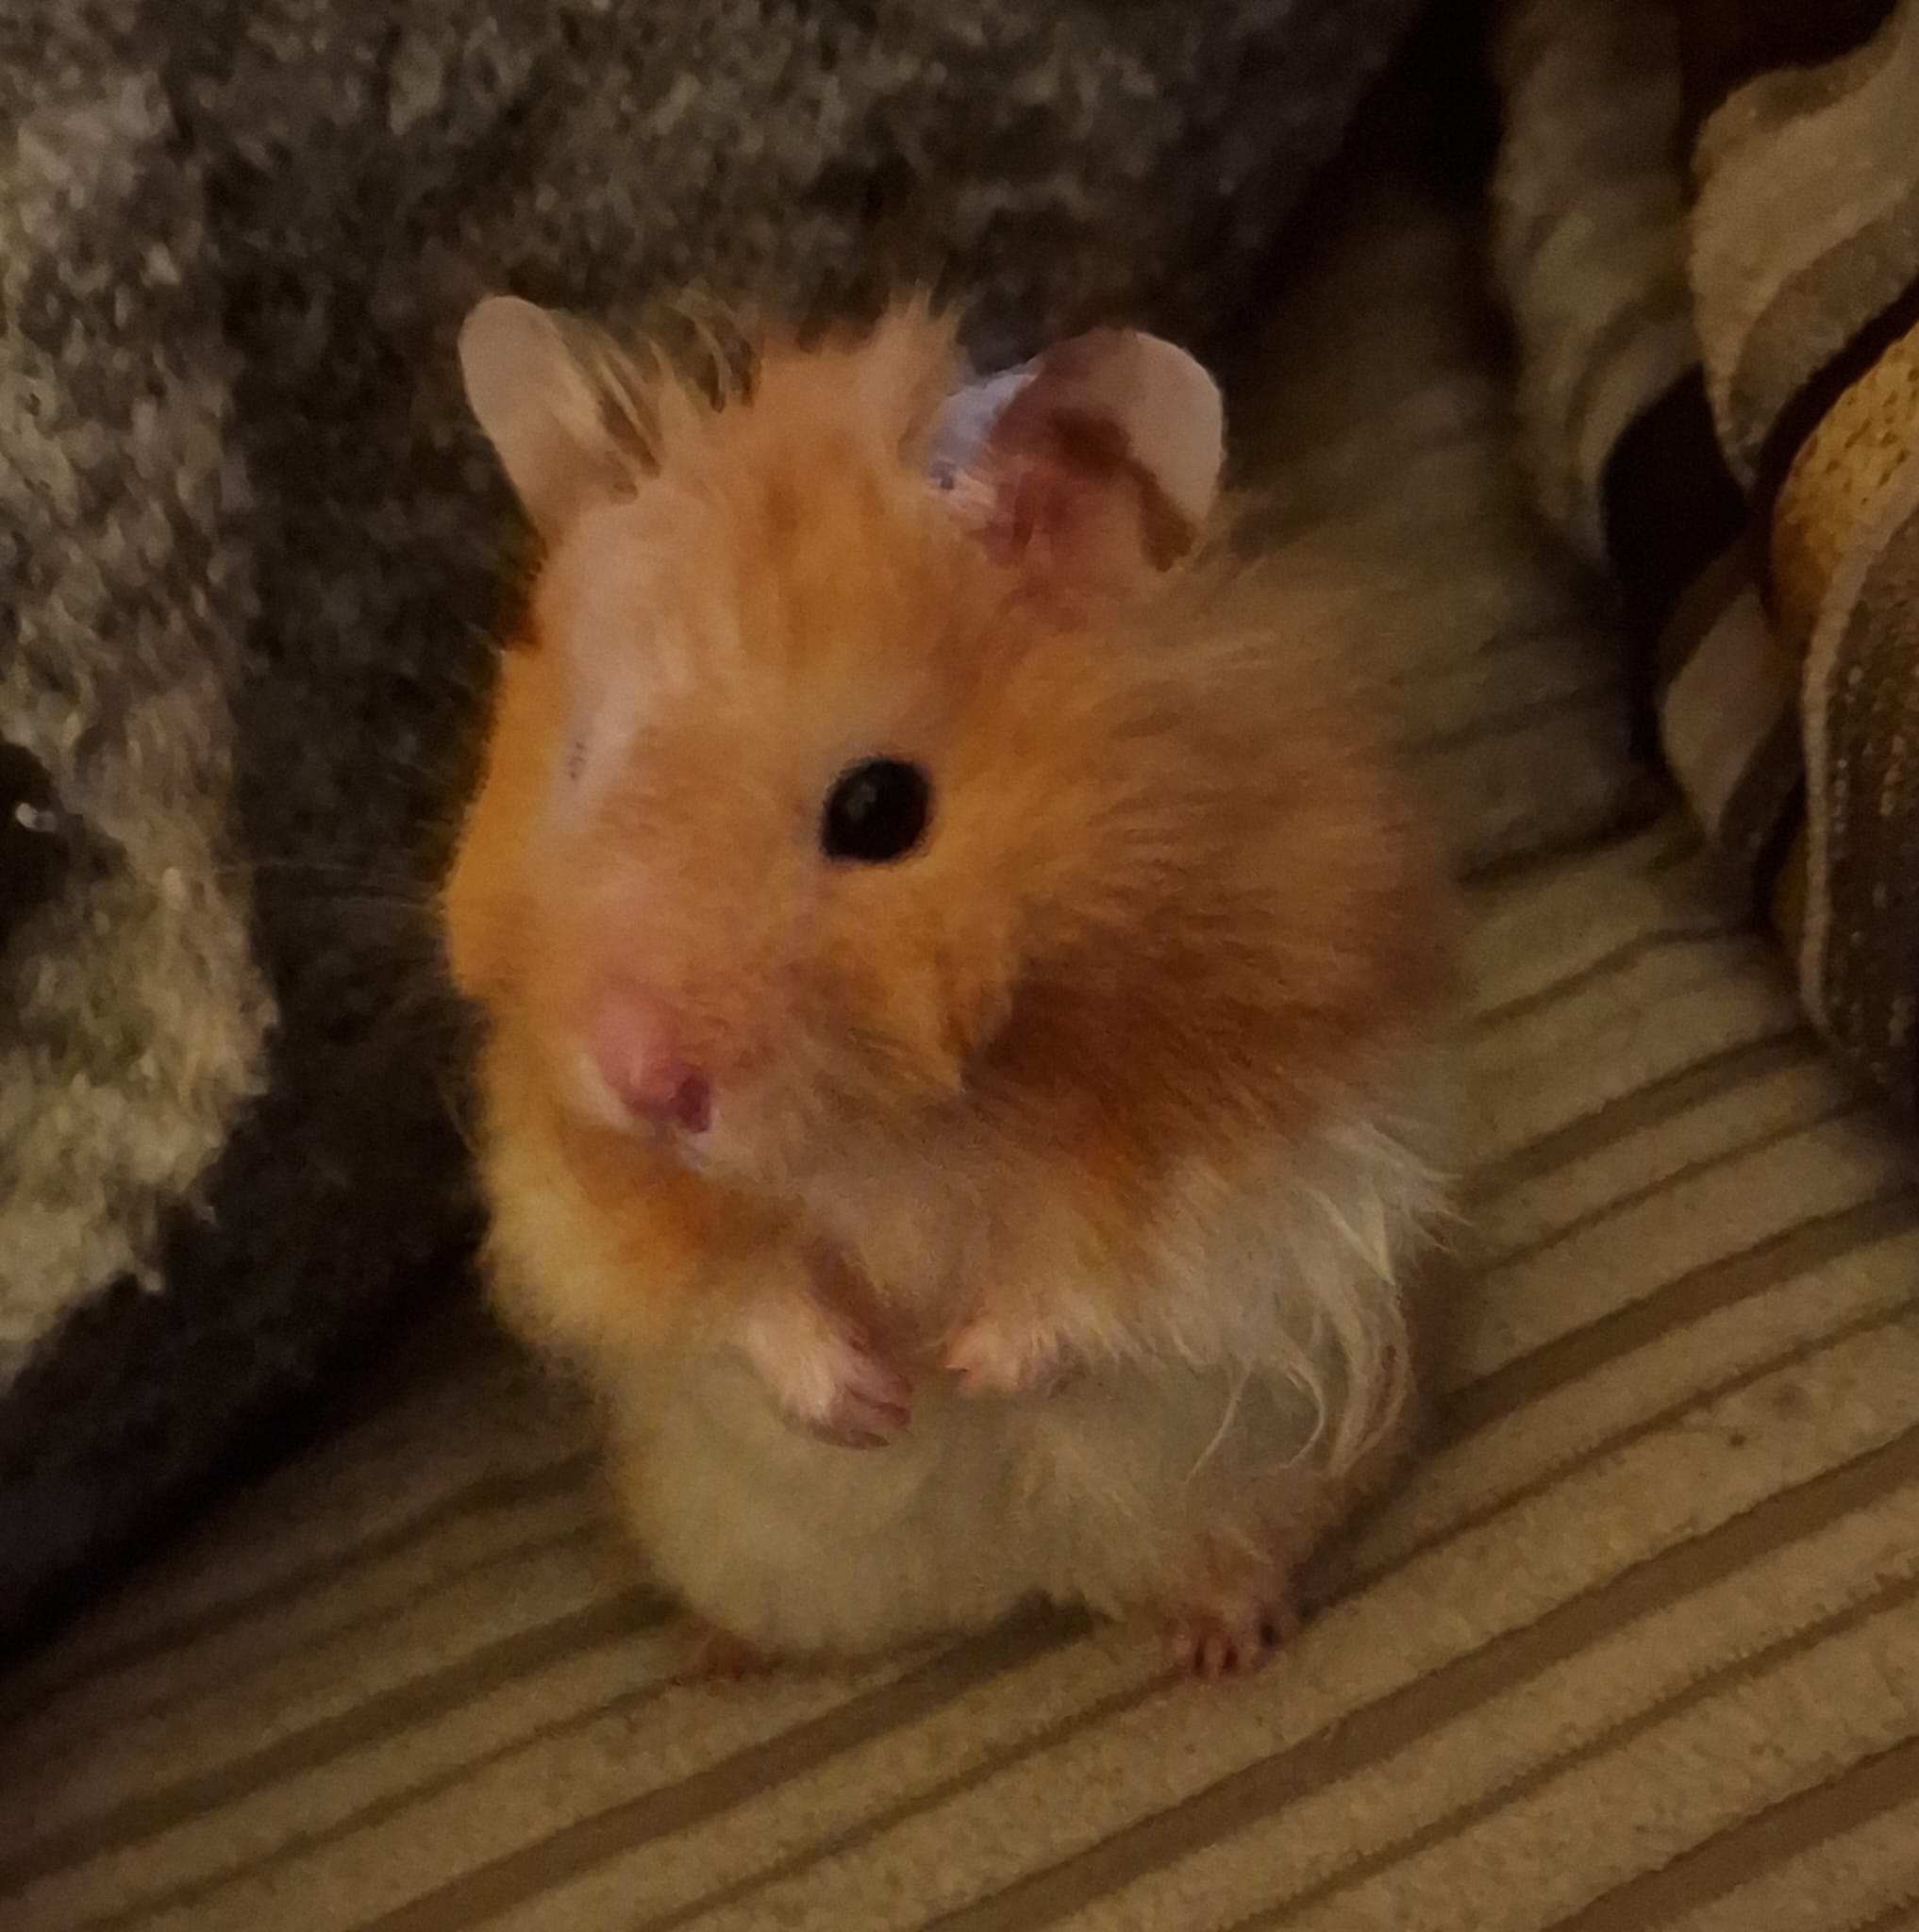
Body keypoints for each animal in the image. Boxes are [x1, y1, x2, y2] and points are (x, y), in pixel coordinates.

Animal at [441, 294, 1454, 1676]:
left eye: (881, 810)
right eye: (581, 761)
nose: (644, 1081)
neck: (893, 1133)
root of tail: (990, 1598)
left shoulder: (1264, 1130)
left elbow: (1115, 1273)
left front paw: (967, 1367)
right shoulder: (568, 1196)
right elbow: (719, 1291)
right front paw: (872, 1397)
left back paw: (1221, 1639)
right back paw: (725, 1653)